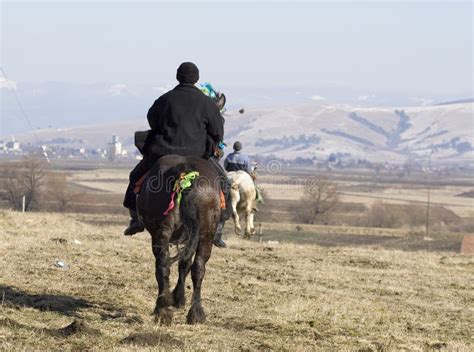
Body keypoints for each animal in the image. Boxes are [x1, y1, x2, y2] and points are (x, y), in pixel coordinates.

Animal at [135, 155, 220, 326]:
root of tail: (186, 173)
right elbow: (185, 264)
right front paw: (178, 298)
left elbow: (183, 264)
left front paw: (177, 298)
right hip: (205, 234)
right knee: (197, 267)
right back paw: (193, 312)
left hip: (164, 231)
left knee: (164, 265)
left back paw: (163, 308)